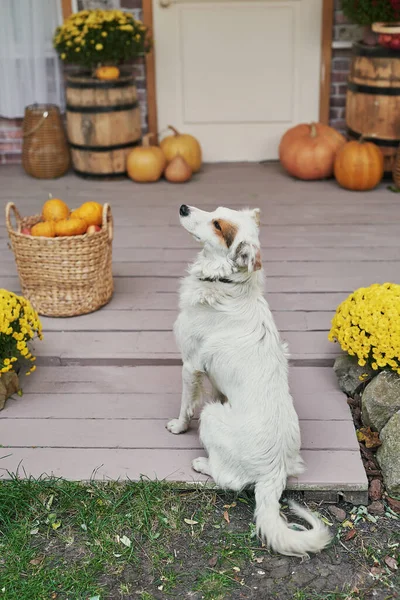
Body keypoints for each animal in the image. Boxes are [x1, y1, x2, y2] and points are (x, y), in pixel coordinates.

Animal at [166, 206, 332, 556]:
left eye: (217, 225)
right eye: (215, 211)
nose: (183, 207)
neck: (226, 283)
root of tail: (275, 473)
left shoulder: (189, 365)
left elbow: (186, 405)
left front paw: (178, 426)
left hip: (212, 418)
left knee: (228, 479)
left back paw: (201, 463)